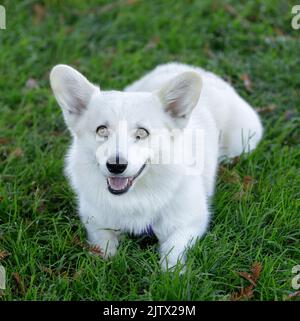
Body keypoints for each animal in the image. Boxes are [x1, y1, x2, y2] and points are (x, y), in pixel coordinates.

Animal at [49, 61, 262, 268]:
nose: (116, 166)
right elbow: (104, 245)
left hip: (241, 143)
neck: (133, 198)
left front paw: (173, 275)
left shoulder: (190, 223)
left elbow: (173, 252)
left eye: (142, 133)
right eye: (101, 130)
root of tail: (200, 71)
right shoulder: (95, 222)